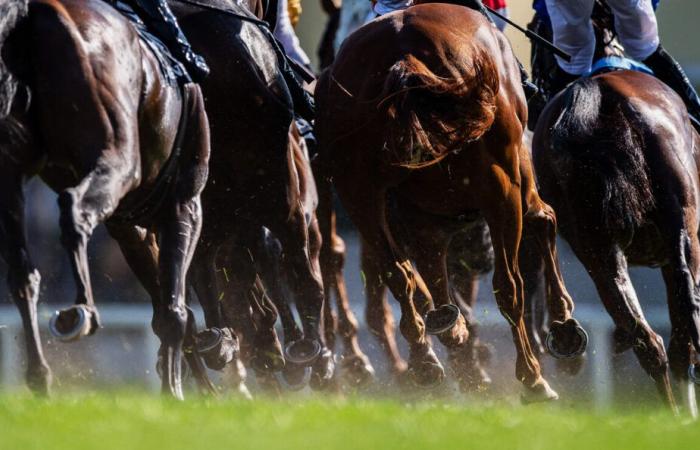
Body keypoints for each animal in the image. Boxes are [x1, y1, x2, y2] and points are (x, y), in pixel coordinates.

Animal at [0, 0, 211, 398]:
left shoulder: (130, 225)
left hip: (12, 174)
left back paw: (41, 378)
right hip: (117, 156)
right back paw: (81, 311)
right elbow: (174, 308)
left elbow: (168, 305)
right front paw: (176, 391)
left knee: (23, 275)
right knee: (73, 211)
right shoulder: (184, 202)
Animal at [320, 1, 588, 400]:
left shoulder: (421, 220)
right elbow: (543, 221)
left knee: (399, 274)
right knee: (509, 285)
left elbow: (426, 277)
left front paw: (451, 335)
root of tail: (403, 54)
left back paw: (427, 362)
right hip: (500, 184)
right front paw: (564, 325)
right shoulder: (514, 179)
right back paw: (532, 377)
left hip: (359, 193)